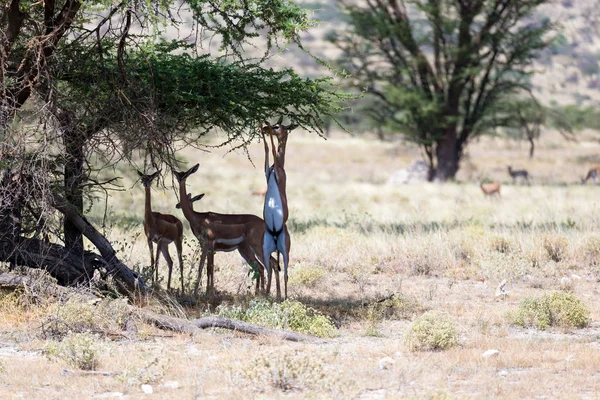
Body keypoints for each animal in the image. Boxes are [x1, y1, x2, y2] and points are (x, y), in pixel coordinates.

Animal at [172, 164, 278, 296]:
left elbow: (207, 267)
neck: (198, 217)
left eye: (186, 174)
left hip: (257, 247)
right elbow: (205, 267)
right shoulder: (206, 246)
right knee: (266, 265)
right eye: (178, 174)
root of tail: (264, 223)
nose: (177, 205)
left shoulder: (209, 244)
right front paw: (202, 291)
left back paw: (266, 293)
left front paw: (205, 292)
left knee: (268, 265)